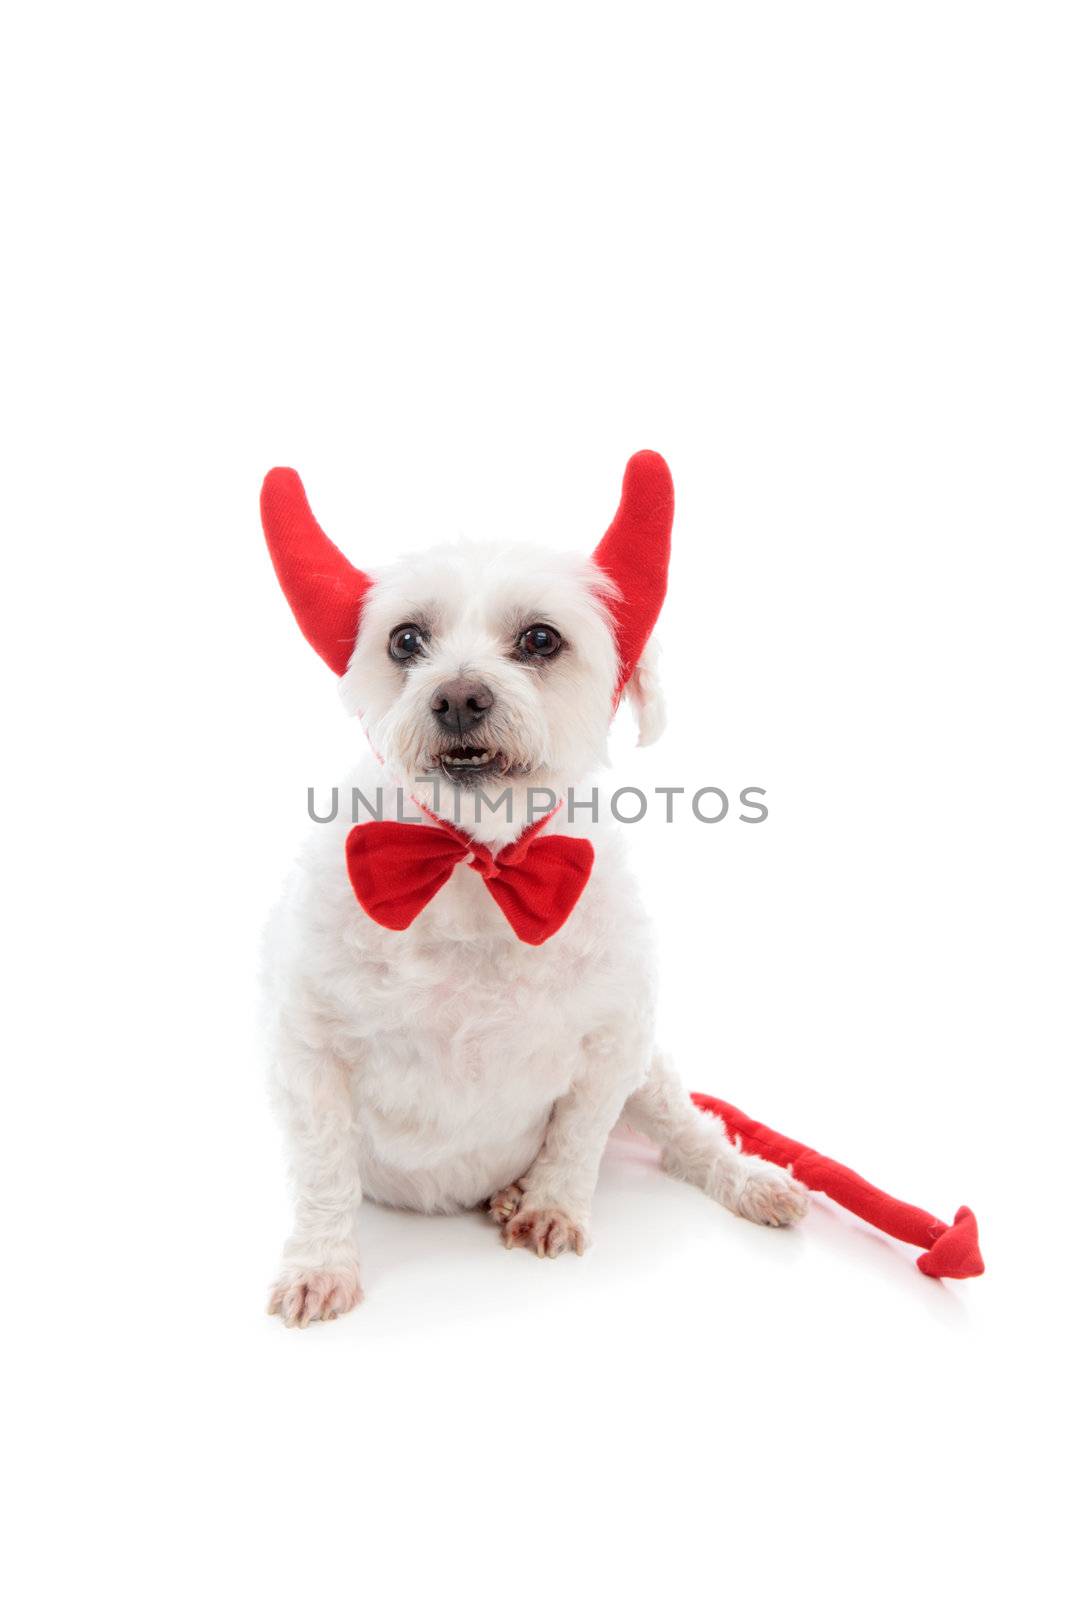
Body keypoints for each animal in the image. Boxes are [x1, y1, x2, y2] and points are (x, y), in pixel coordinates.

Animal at [260, 451, 809, 1324]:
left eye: (540, 639)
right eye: (405, 638)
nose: (458, 696)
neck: (475, 867)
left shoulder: (615, 1042)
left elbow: (578, 1137)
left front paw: (549, 1204)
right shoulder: (308, 1050)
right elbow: (321, 1174)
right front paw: (320, 1265)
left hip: (652, 1075)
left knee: (689, 1137)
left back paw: (745, 1181)